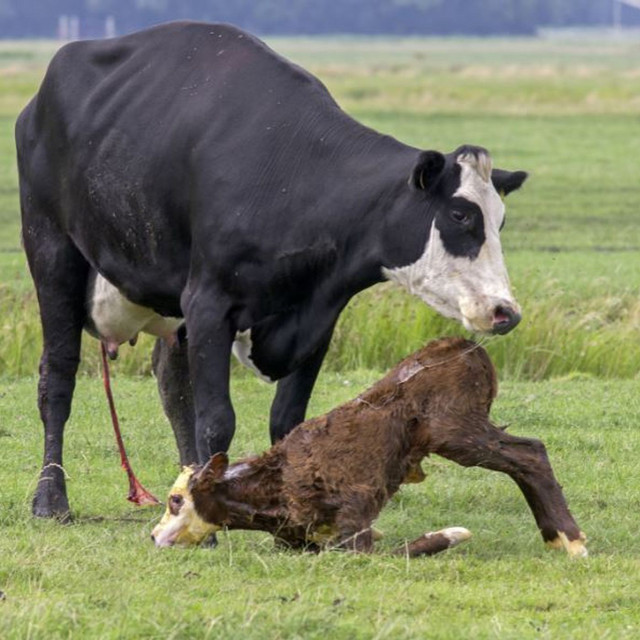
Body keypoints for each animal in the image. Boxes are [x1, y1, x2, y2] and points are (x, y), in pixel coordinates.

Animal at [15, 21, 527, 522]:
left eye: (500, 220)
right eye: (460, 215)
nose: (506, 311)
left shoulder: (318, 319)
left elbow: (287, 420)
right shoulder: (209, 304)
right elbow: (216, 419)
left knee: (172, 384)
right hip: (51, 249)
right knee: (57, 377)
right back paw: (51, 499)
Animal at [151, 338, 587, 558]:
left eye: (176, 500)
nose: (153, 536)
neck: (273, 490)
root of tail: (463, 343)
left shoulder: (355, 521)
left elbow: (386, 550)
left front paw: (451, 534)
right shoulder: (300, 540)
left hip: (457, 431)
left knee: (530, 452)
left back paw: (570, 541)